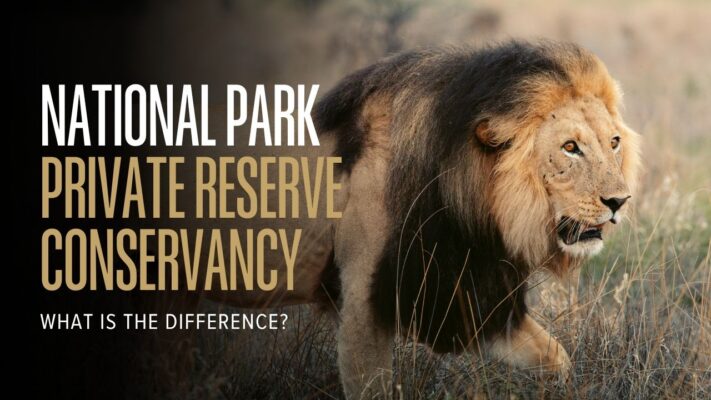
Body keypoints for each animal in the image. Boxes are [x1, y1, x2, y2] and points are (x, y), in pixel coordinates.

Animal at [205, 40, 641, 399]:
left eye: (613, 143)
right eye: (570, 148)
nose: (619, 201)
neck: (468, 201)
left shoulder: (468, 291)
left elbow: (558, 358)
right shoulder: (365, 298)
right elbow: (373, 389)